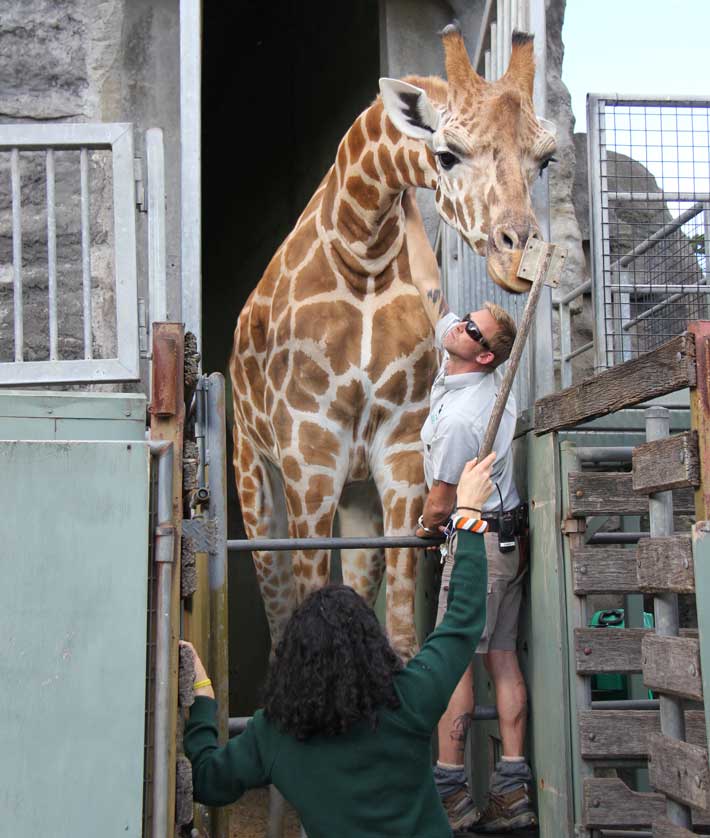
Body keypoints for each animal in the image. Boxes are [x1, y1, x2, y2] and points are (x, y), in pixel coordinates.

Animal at [231, 27, 560, 664]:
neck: (362, 255)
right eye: (447, 153)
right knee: (274, 598)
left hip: (357, 487)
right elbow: (304, 598)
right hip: (254, 470)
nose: (520, 255)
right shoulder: (308, 451)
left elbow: (404, 627)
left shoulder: (400, 449)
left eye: (546, 159)